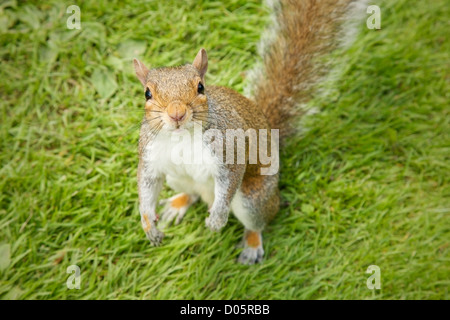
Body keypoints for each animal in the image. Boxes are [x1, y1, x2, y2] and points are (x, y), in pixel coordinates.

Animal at [132, 0, 356, 264]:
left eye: (201, 87)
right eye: (147, 93)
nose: (177, 113)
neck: (182, 136)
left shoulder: (229, 150)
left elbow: (229, 180)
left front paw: (217, 220)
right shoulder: (150, 155)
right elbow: (146, 186)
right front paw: (148, 225)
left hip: (253, 199)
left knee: (258, 221)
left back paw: (251, 244)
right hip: (177, 178)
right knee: (192, 193)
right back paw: (178, 203)